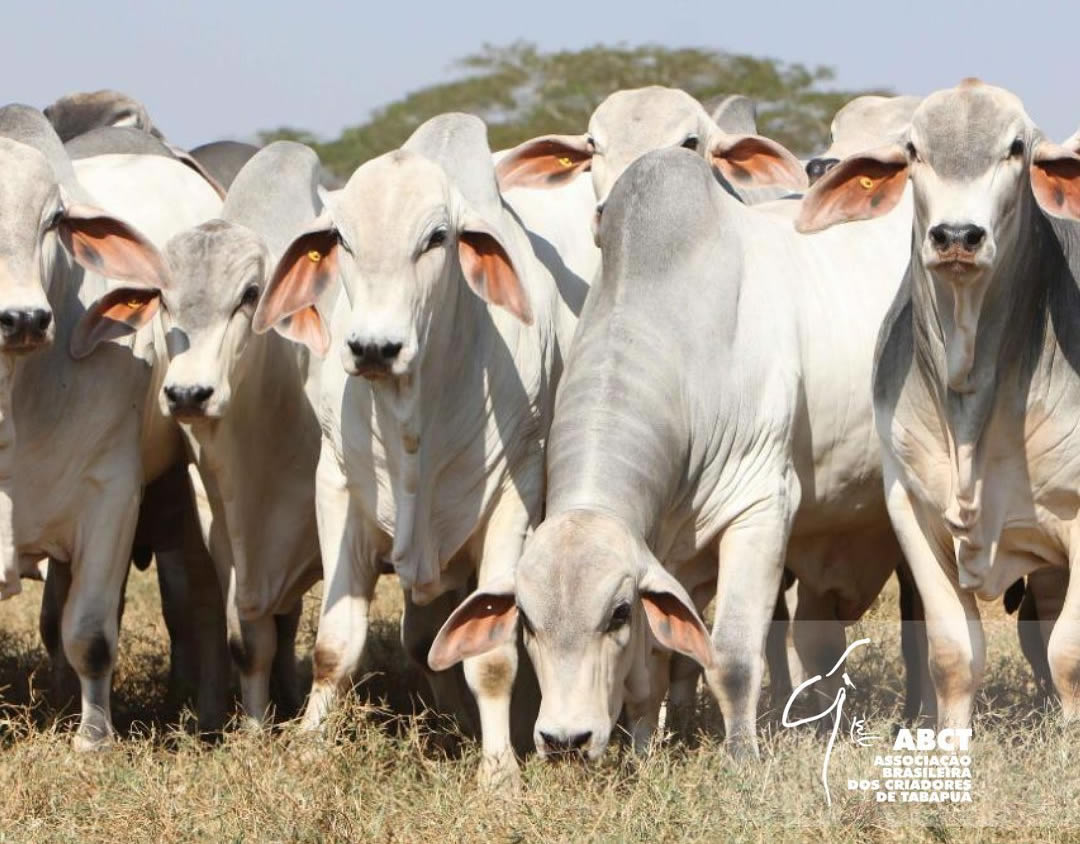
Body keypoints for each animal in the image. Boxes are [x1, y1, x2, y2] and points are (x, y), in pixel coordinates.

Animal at [794, 78, 1080, 726]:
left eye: (1017, 148)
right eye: (914, 150)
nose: (956, 236)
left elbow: (1070, 655)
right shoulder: (911, 507)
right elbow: (951, 653)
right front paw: (949, 741)